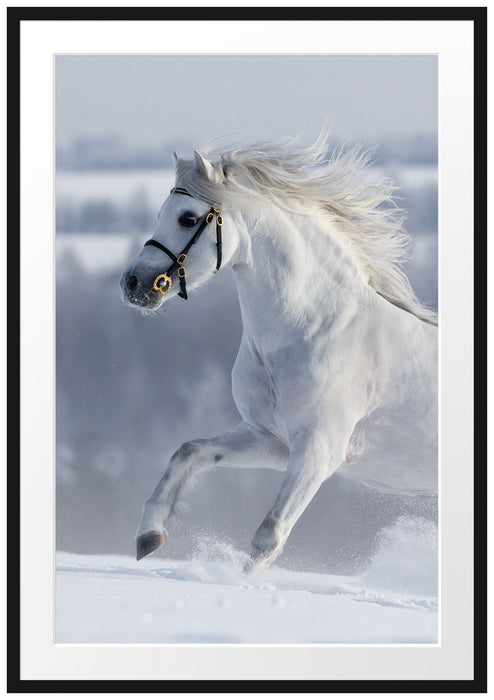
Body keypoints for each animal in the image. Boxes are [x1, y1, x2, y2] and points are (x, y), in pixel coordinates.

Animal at [120, 135, 438, 573]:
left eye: (187, 218)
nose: (133, 283)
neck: (313, 330)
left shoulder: (318, 452)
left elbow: (268, 536)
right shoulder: (269, 440)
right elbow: (188, 451)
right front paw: (149, 536)